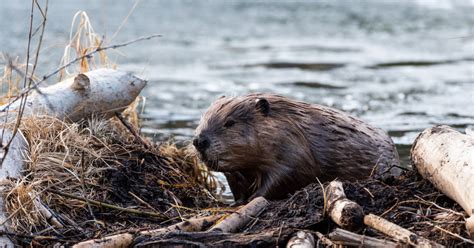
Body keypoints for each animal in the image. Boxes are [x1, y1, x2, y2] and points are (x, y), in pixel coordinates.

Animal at [193, 93, 400, 203]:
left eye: (230, 122)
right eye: (203, 118)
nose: (199, 141)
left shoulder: (294, 152)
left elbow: (283, 177)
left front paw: (253, 199)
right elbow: (236, 182)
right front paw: (237, 202)